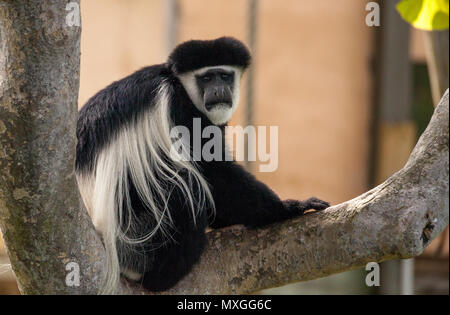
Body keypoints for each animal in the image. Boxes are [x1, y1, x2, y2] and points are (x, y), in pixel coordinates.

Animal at [76, 37, 330, 294]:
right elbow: (214, 170)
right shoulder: (179, 109)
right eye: (206, 78)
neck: (176, 82)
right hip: (137, 236)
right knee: (184, 186)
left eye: (225, 76)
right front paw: (289, 207)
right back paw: (164, 275)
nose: (218, 90)